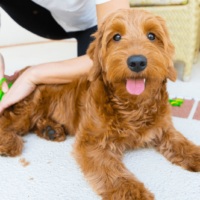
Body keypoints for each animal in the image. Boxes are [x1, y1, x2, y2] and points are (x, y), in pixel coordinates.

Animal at [0, 9, 200, 200]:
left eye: (152, 36)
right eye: (116, 37)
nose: (137, 62)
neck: (133, 105)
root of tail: (20, 73)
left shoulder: (164, 128)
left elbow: (181, 142)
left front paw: (196, 154)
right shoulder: (92, 142)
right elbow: (111, 170)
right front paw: (130, 191)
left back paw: (49, 130)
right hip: (27, 107)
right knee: (7, 120)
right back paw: (11, 142)